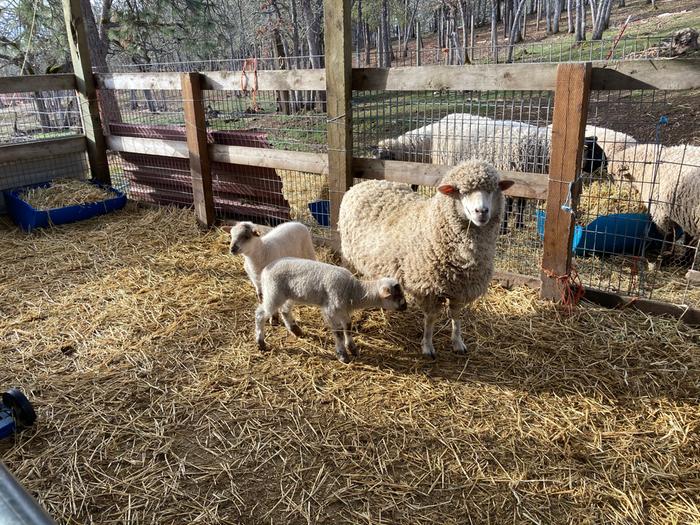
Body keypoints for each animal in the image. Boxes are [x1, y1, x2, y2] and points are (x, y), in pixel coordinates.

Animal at [254, 256, 408, 362]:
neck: (353, 290)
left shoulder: (343, 311)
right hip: (273, 293)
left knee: (284, 310)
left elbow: (348, 327)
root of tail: (265, 269)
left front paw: (352, 348)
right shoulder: (331, 310)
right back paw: (261, 343)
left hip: (288, 295)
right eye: (397, 295)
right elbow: (338, 333)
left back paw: (296, 330)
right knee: (260, 314)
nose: (406, 306)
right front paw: (343, 355)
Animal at [340, 158, 516, 358]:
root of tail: (362, 184)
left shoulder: (461, 289)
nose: (482, 211)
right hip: (349, 258)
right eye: (461, 192)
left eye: (493, 190)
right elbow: (431, 319)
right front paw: (428, 346)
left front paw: (458, 342)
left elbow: (456, 316)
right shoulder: (428, 288)